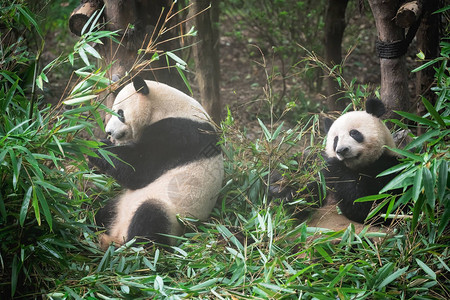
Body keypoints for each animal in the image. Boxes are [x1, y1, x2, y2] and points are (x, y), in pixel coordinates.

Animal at [90, 77, 224, 248]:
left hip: (172, 213)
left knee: (150, 219)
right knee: (104, 212)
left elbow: (138, 168)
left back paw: (131, 246)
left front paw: (97, 147)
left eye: (120, 113)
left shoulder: (180, 135)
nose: (109, 131)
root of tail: (119, 233)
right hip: (120, 204)